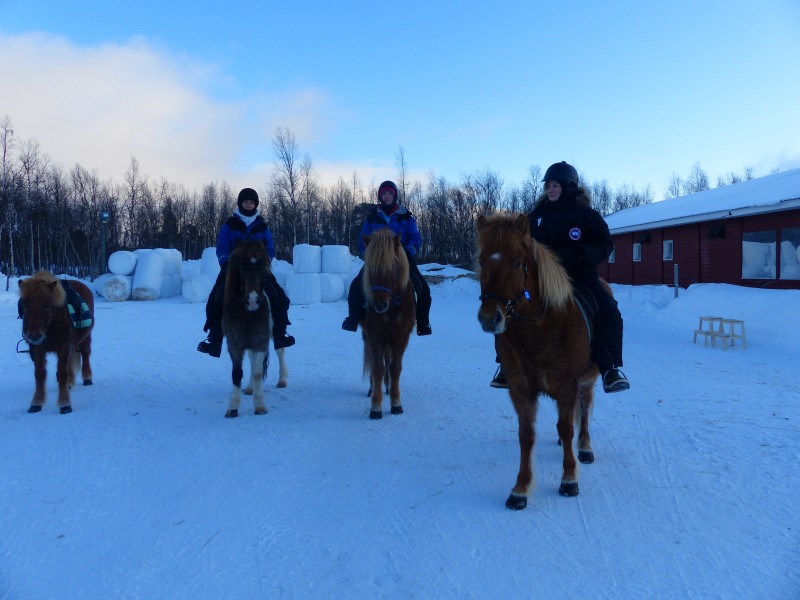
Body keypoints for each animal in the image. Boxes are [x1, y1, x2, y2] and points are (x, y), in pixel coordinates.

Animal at [18, 270, 94, 412]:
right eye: (24, 304)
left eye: (47, 305)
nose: (34, 336)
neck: (50, 326)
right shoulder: (38, 349)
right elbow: (40, 374)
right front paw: (36, 402)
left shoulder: (63, 347)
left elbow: (62, 374)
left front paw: (64, 403)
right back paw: (70, 383)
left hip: (85, 337)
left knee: (85, 353)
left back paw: (87, 378)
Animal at [360, 227, 416, 420]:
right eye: (370, 268)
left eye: (393, 268)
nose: (379, 305)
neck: (392, 307)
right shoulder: (374, 336)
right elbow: (378, 368)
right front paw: (375, 407)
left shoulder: (401, 337)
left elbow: (395, 368)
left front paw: (396, 403)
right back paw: (373, 388)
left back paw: (388, 386)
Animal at [478, 213, 604, 508]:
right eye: (481, 261)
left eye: (517, 262)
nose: (490, 319)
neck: (537, 330)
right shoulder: (520, 388)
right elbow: (526, 435)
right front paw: (520, 488)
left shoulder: (567, 384)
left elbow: (567, 427)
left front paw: (569, 480)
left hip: (587, 380)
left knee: (585, 409)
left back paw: (585, 447)